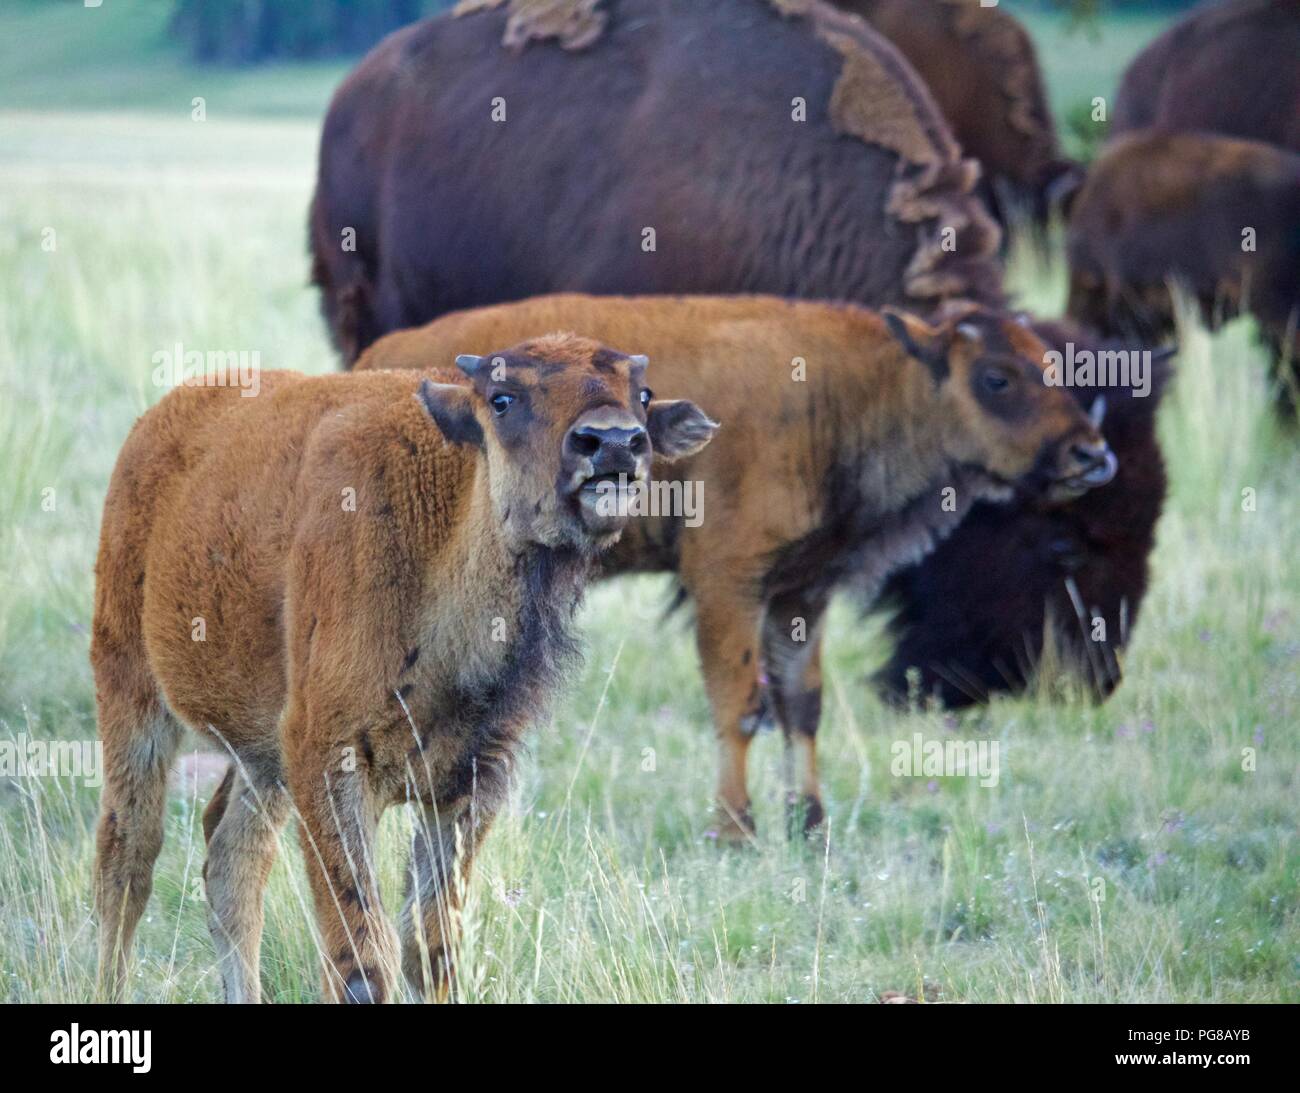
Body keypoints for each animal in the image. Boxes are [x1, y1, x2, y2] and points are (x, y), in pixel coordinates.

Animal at [91, 337, 716, 1003]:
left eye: (642, 394)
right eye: (502, 399)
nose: (614, 442)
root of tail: (155, 426)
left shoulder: (470, 781)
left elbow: (429, 946)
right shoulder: (330, 761)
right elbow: (363, 958)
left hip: (263, 759)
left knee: (231, 863)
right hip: (132, 697)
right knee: (127, 861)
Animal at [356, 293, 1119, 841]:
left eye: (1052, 366)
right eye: (996, 377)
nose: (1092, 454)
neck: (850, 390)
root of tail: (375, 361)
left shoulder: (801, 593)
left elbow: (801, 705)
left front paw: (811, 825)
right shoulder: (729, 584)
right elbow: (740, 705)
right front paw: (735, 829)